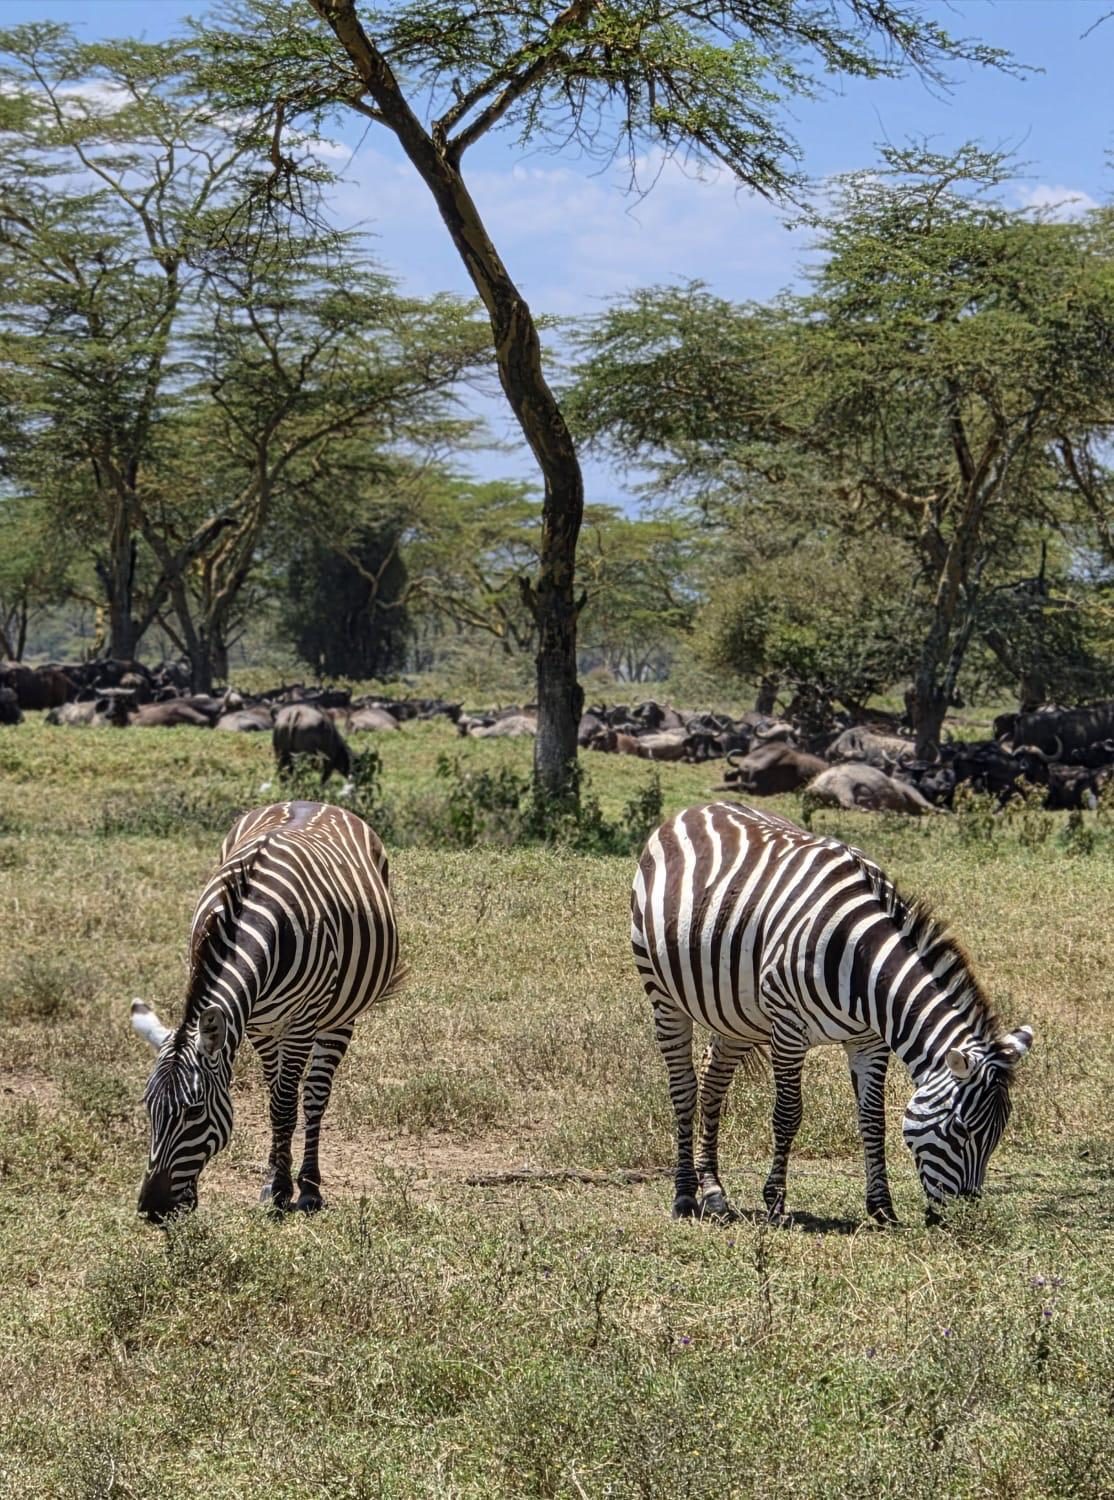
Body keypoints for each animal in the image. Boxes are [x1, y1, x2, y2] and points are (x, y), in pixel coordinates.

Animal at [130, 800, 400, 1223]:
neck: (251, 919)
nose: (153, 1210)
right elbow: (274, 1101)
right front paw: (273, 1181)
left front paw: (286, 1191)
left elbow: (286, 1105)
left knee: (315, 1095)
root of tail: (313, 801)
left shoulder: (301, 1022)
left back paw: (310, 1187)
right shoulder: (256, 1024)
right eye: (148, 1107)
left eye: (194, 1111)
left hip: (338, 1016)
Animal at [631, 802, 1033, 1225]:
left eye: (997, 1135)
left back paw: (714, 1193)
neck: (863, 961)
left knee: (713, 1083)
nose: (963, 1219)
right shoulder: (788, 1029)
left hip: (734, 1012)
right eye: (959, 1129)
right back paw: (684, 1196)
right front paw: (775, 1203)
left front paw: (882, 1208)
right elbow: (787, 1114)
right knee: (684, 1088)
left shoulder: (869, 1040)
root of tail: (697, 808)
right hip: (664, 994)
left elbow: (873, 1118)